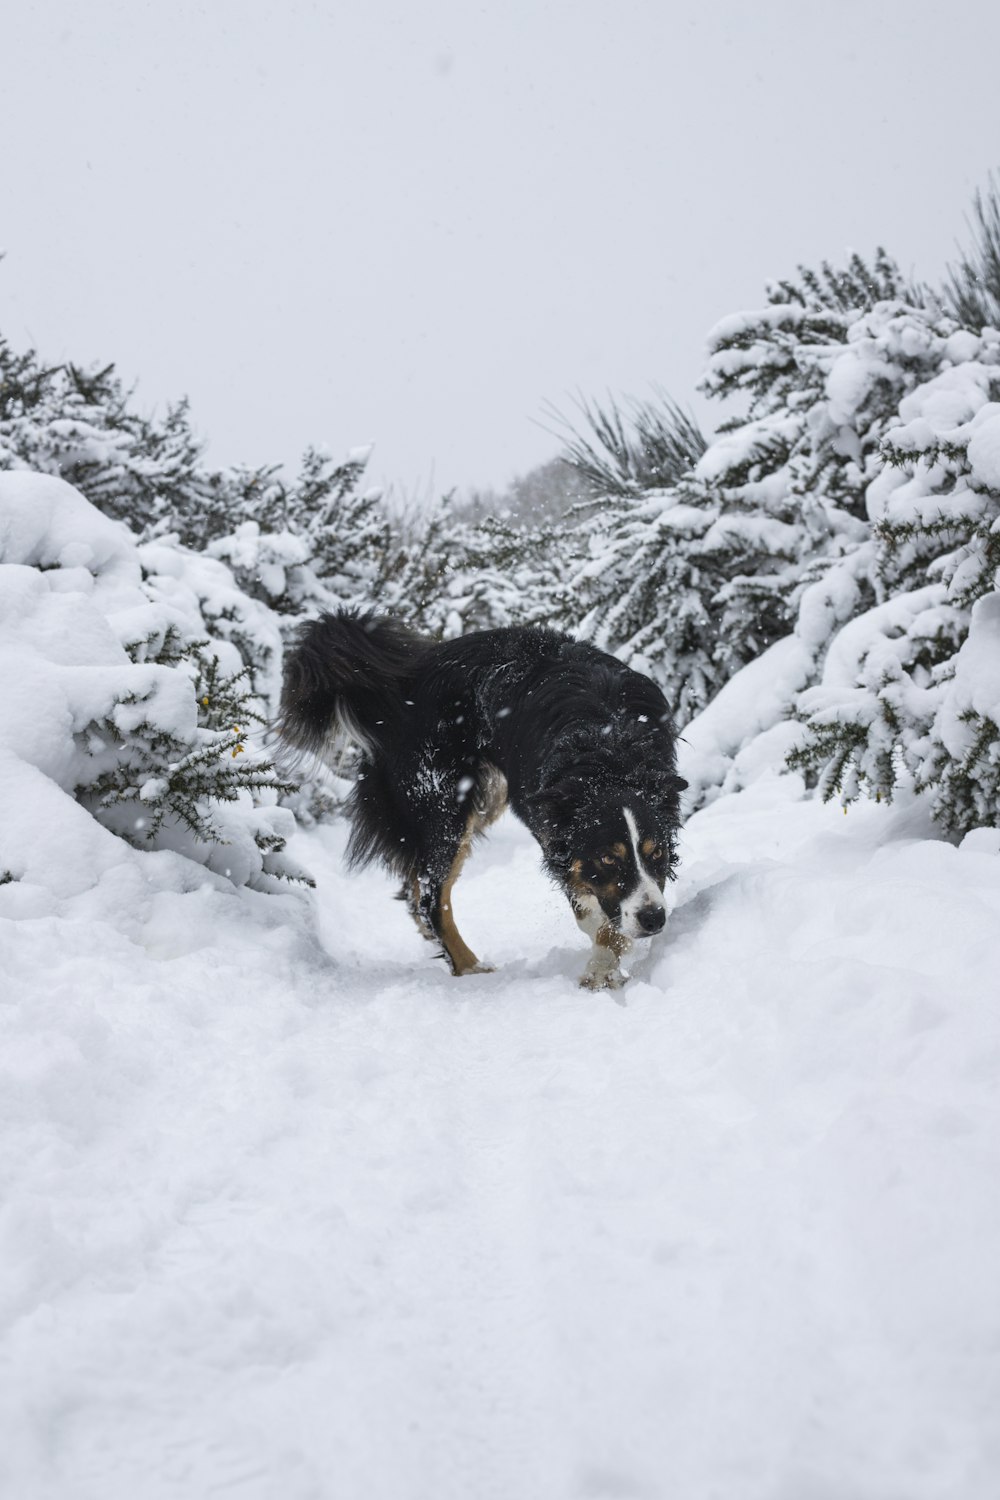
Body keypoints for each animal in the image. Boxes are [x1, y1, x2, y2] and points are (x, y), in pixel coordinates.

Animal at [281, 606, 689, 984]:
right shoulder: (555, 830)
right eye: (607, 859)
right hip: (442, 802)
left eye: (658, 852)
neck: (607, 750)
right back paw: (470, 968)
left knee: (416, 889)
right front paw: (603, 966)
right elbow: (590, 905)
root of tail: (397, 682)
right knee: (431, 896)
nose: (654, 919)